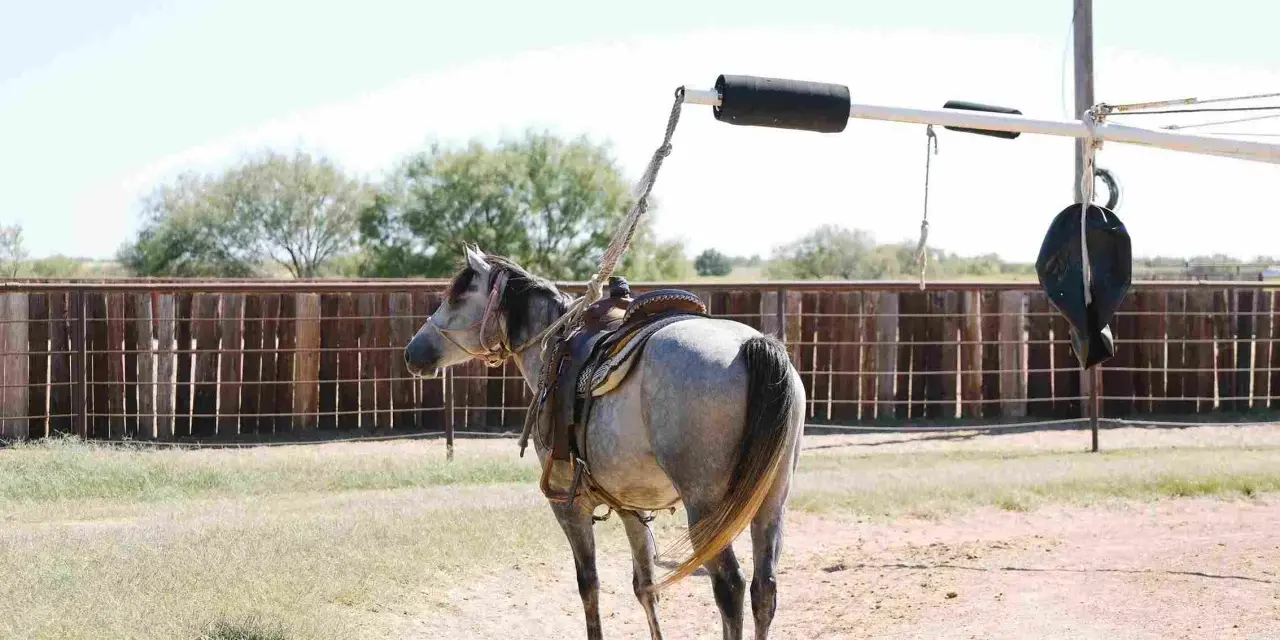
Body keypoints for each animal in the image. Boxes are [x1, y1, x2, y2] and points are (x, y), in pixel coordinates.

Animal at [404, 246, 806, 640]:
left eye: (456, 296)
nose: (412, 351)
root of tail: (753, 344)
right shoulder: (633, 510)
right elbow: (645, 586)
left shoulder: (569, 506)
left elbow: (589, 585)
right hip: (771, 501)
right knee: (763, 590)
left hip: (705, 505)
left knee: (730, 586)